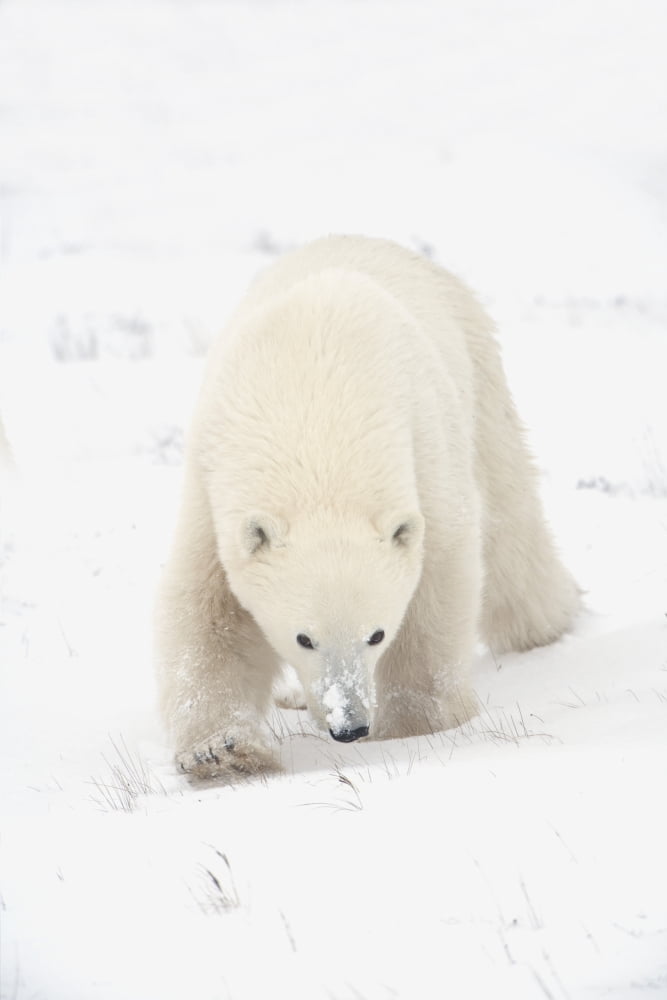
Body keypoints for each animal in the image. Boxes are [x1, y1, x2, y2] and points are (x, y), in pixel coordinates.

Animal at [155, 235, 580, 781]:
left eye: (376, 635)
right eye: (304, 638)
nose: (349, 725)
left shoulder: (423, 451)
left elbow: (436, 585)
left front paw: (417, 722)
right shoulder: (212, 484)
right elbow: (209, 611)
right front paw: (221, 751)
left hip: (477, 377)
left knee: (510, 523)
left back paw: (550, 622)